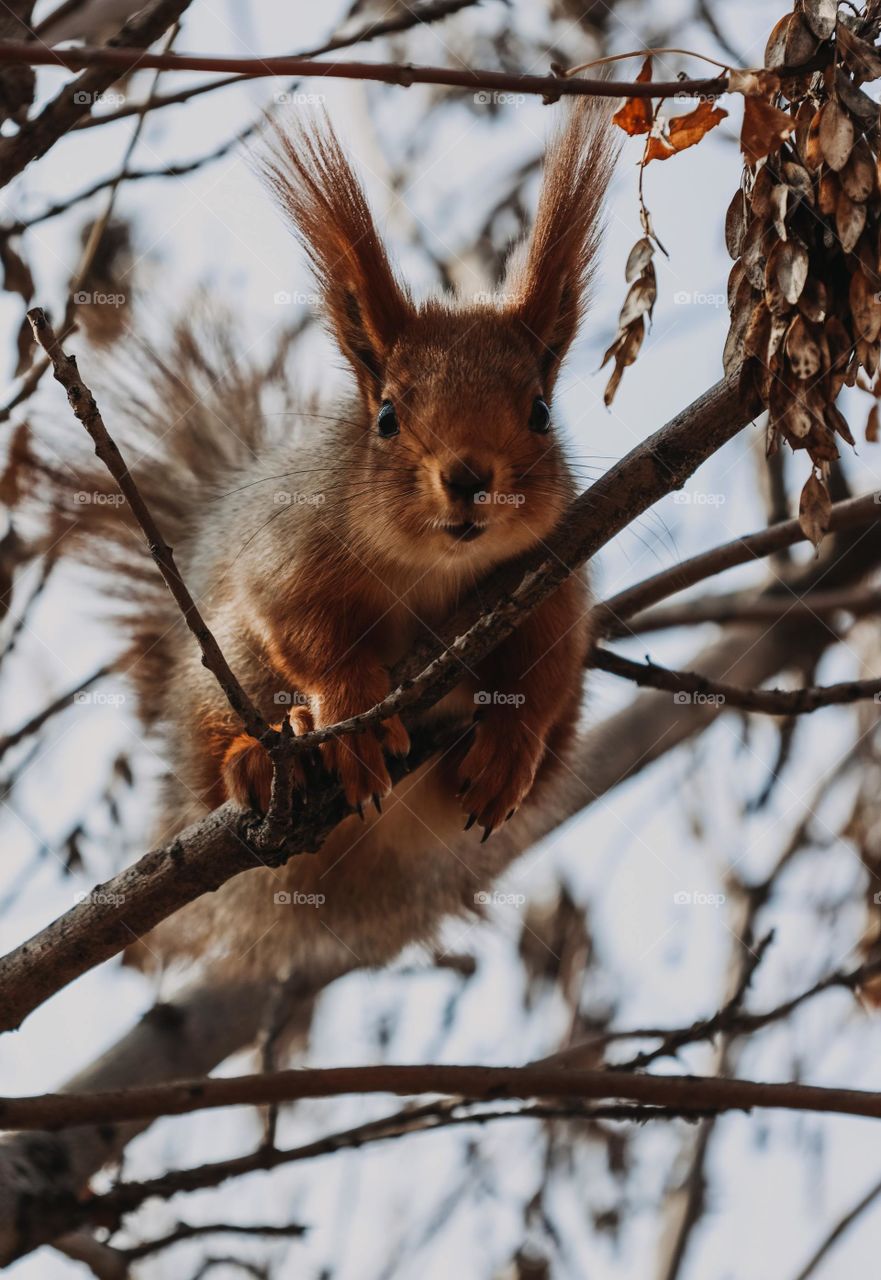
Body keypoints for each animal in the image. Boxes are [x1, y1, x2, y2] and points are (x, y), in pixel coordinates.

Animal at [35, 102, 616, 984]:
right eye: (387, 415)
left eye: (540, 412)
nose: (469, 477)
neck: (432, 565)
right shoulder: (291, 554)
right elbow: (307, 631)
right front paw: (349, 708)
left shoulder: (553, 581)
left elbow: (543, 672)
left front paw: (509, 743)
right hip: (226, 671)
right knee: (220, 759)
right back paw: (263, 755)